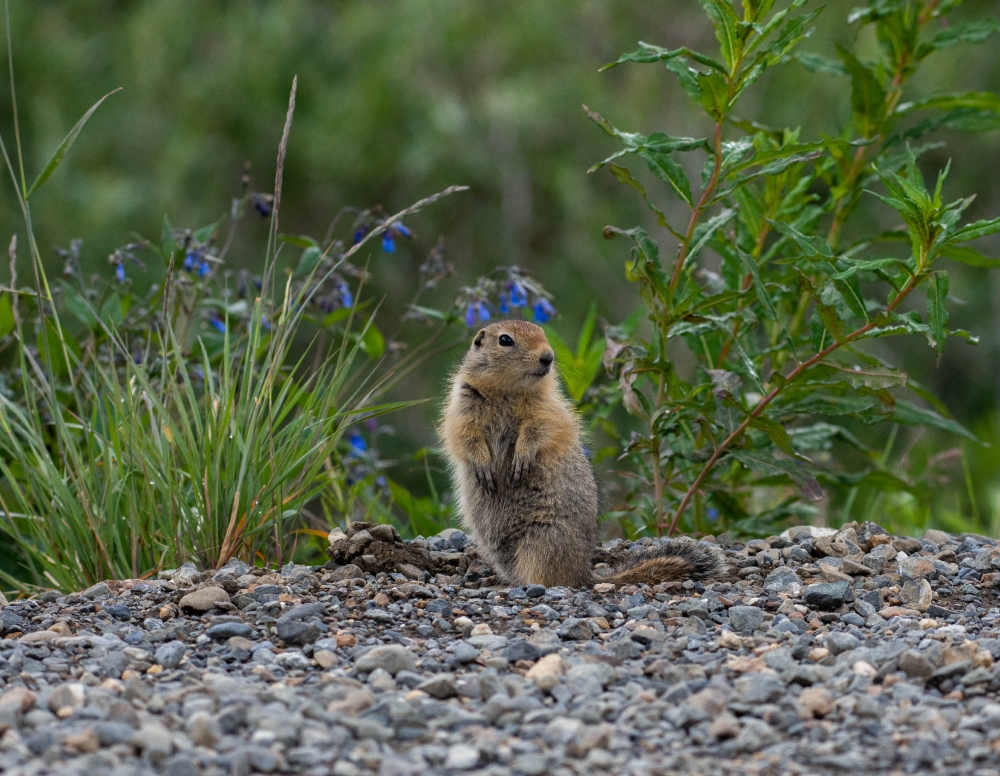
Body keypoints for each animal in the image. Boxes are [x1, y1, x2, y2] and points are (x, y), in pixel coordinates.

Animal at [440, 322, 728, 588]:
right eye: (505, 340)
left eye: (543, 333)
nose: (548, 357)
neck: (507, 390)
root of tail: (584, 572)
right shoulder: (462, 403)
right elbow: (463, 435)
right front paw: (483, 465)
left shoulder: (549, 409)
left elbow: (541, 429)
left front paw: (522, 458)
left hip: (542, 542)